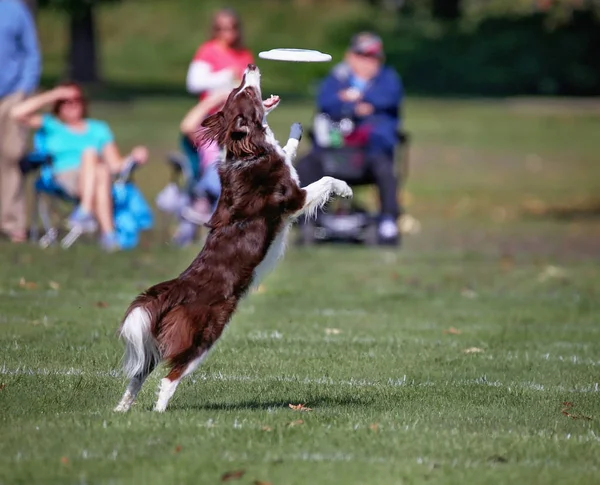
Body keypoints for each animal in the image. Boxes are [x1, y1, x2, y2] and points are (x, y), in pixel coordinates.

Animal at [113, 64, 352, 412]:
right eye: (246, 92)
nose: (250, 67)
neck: (248, 150)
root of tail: (174, 290)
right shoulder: (293, 199)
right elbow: (326, 178)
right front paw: (345, 187)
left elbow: (288, 151)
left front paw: (295, 134)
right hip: (205, 333)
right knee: (170, 376)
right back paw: (160, 412)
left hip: (156, 340)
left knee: (139, 373)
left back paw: (122, 410)